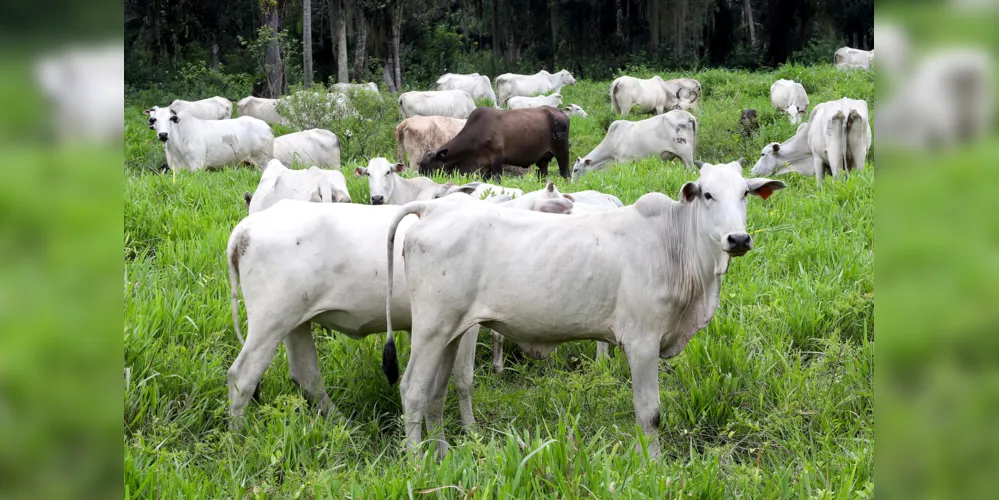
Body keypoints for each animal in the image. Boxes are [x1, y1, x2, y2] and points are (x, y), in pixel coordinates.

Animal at [145, 105, 274, 172]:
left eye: (171, 118)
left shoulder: (197, 166)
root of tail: (268, 127)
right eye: (154, 119)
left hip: (263, 162)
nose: (163, 134)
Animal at [386, 159, 784, 458]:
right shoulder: (642, 342)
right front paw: (654, 464)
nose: (738, 239)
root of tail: (432, 208)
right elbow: (650, 413)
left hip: (451, 333)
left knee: (436, 393)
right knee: (413, 391)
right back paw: (417, 463)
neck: (675, 247)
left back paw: (441, 454)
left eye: (745, 193)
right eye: (707, 194)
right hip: (431, 329)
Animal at [416, 105, 572, 182]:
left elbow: (497, 179)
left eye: (424, 164)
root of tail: (561, 112)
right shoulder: (484, 167)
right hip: (543, 159)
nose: (419, 176)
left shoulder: (496, 159)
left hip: (562, 152)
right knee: (543, 175)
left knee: (566, 173)